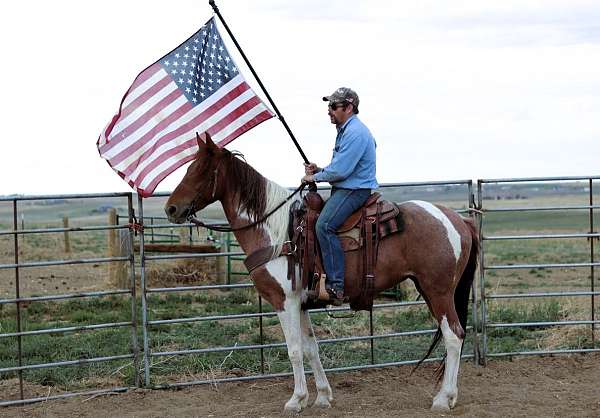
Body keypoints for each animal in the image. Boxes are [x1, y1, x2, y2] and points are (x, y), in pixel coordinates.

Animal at [164, 133, 478, 412]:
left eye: (200, 170)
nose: (171, 208)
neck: (275, 231)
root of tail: (457, 219)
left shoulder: (284, 301)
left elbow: (293, 350)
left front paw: (296, 400)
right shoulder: (301, 303)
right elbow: (310, 348)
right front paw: (323, 396)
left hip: (438, 291)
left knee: (453, 336)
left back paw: (443, 399)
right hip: (429, 289)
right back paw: (449, 396)